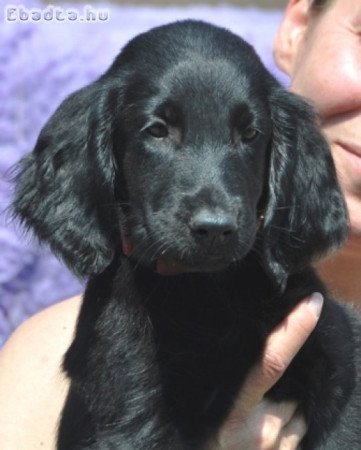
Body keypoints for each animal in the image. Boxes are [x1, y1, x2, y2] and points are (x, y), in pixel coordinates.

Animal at [12, 21, 360, 450]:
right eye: (158, 130)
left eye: (250, 133)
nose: (214, 229)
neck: (200, 290)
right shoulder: (129, 408)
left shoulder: (335, 364)